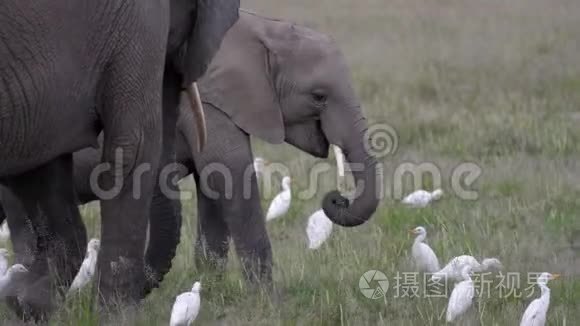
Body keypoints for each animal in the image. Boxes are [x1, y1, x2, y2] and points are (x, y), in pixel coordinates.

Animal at [1, 9, 380, 290]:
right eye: (319, 96)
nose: (338, 198)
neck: (263, 31)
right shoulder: (211, 104)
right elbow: (232, 177)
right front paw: (269, 302)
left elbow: (212, 190)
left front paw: (212, 291)